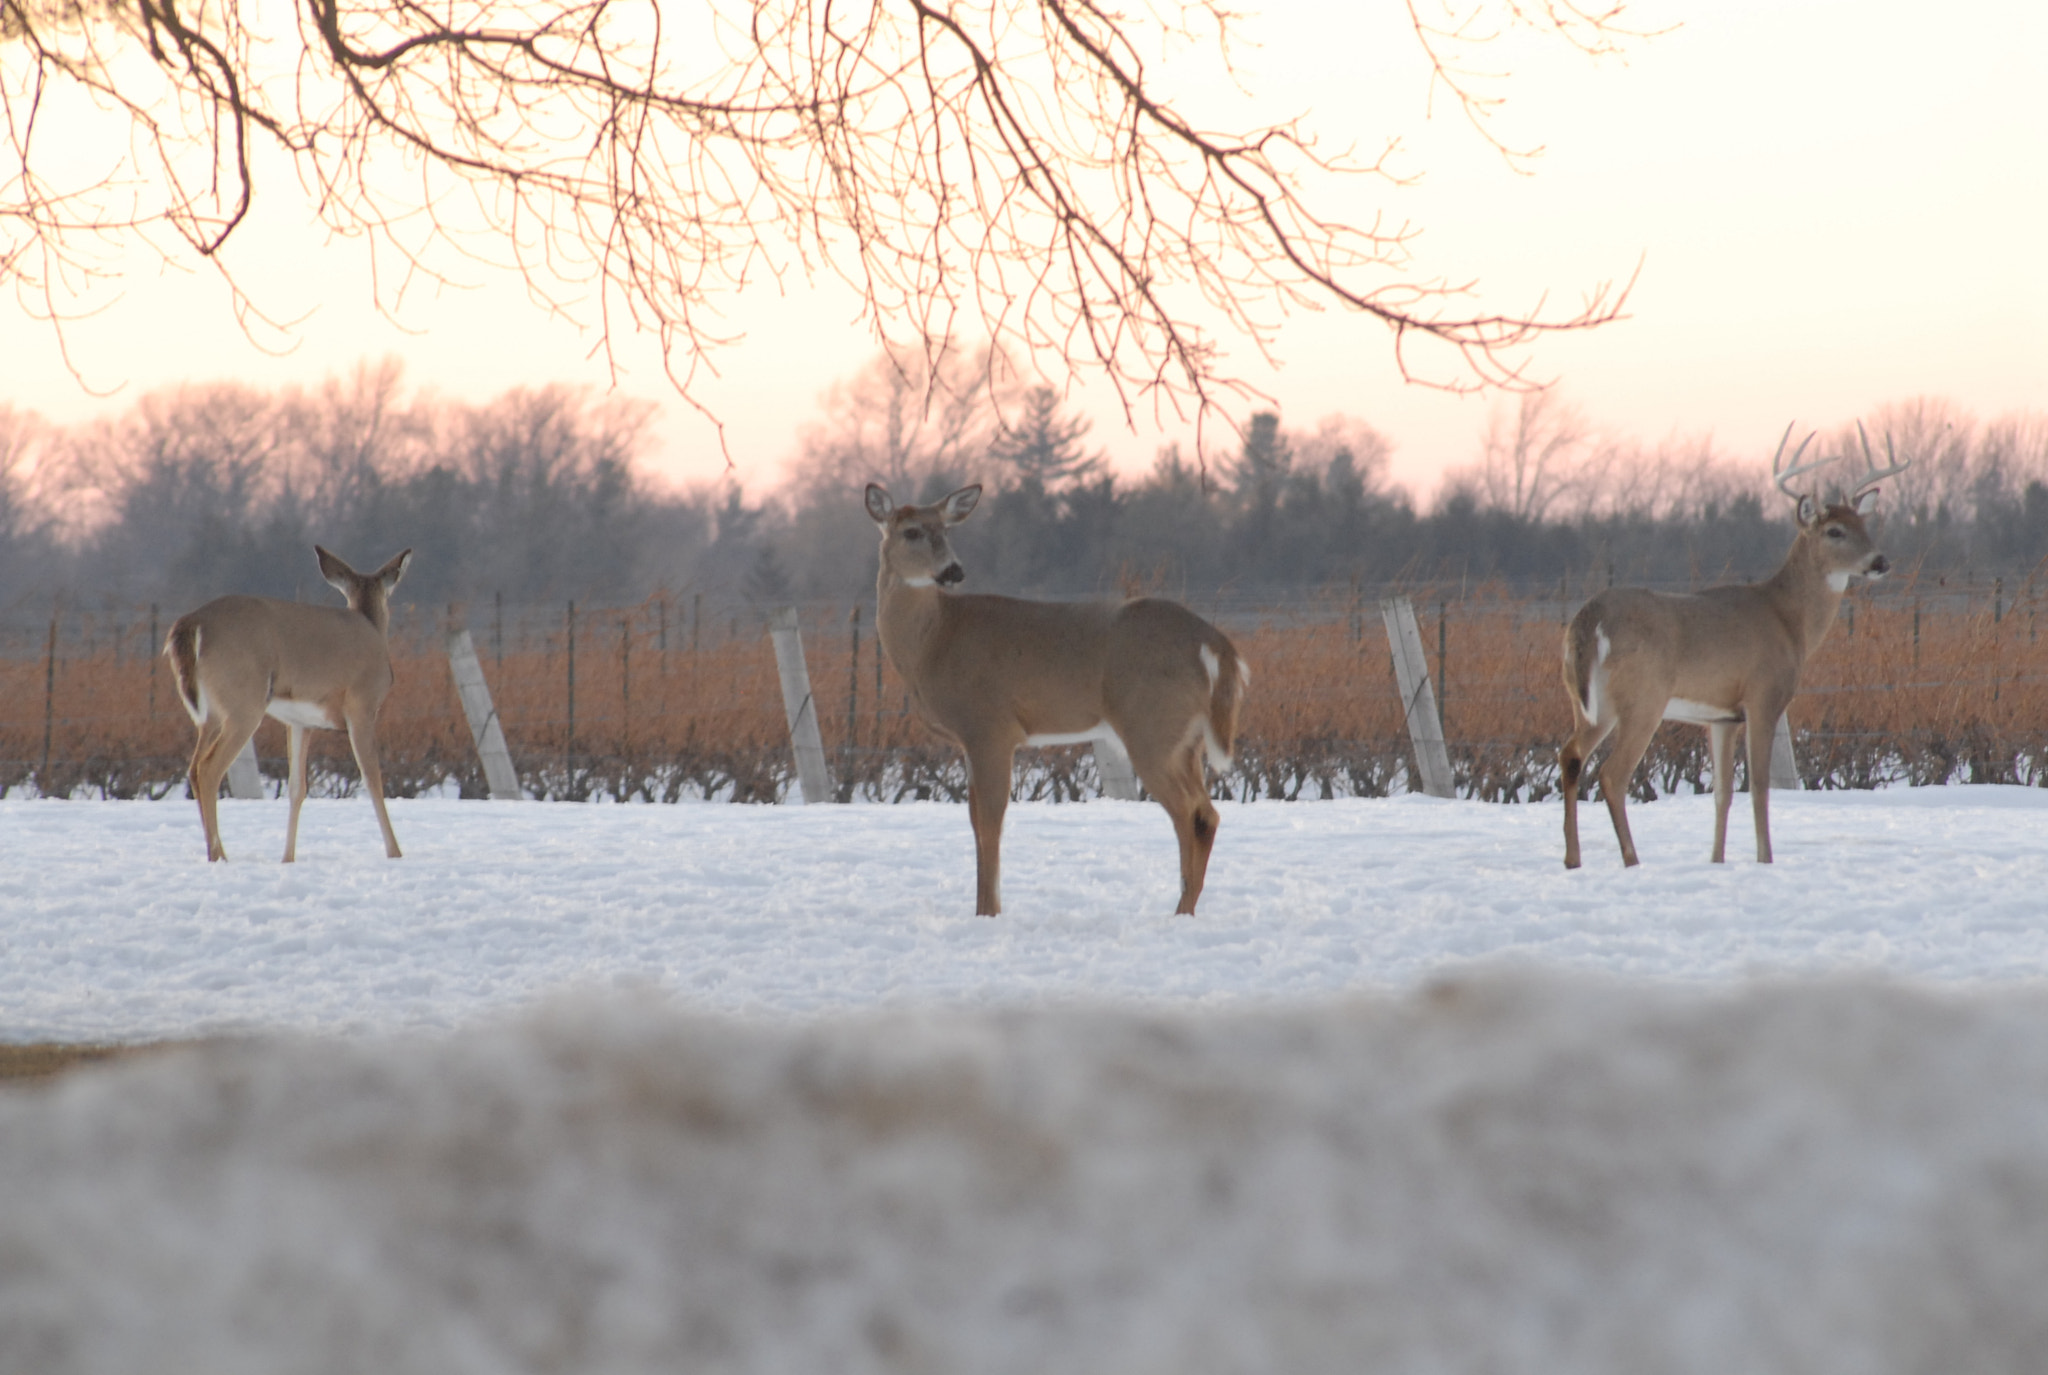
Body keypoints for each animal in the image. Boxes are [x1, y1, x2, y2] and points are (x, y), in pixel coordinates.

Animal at [165, 545, 413, 860]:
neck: (370, 625)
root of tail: (192, 623)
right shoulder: (363, 705)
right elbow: (373, 779)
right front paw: (395, 852)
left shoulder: (299, 722)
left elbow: (297, 788)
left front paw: (287, 858)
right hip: (243, 704)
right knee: (208, 770)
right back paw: (219, 856)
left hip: (211, 714)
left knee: (194, 768)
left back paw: (216, 851)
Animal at [864, 483, 1245, 913]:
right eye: (912, 531)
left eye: (945, 530)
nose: (953, 571)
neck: (934, 640)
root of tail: (1213, 642)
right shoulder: (970, 740)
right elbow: (976, 818)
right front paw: (985, 907)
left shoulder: (990, 726)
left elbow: (990, 820)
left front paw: (988, 911)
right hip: (1186, 738)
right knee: (1206, 813)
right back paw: (1187, 906)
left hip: (1151, 725)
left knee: (1190, 812)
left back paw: (1180, 910)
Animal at [1564, 424, 1900, 864]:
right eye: (1834, 531)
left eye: (1865, 525)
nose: (1880, 562)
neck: (1788, 620)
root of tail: (1590, 619)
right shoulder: (1763, 696)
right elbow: (1758, 786)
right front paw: (1765, 858)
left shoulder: (1721, 717)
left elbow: (1722, 792)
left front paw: (1717, 860)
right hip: (1643, 697)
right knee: (1612, 774)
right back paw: (1632, 860)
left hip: (1588, 702)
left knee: (1570, 757)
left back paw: (1573, 859)